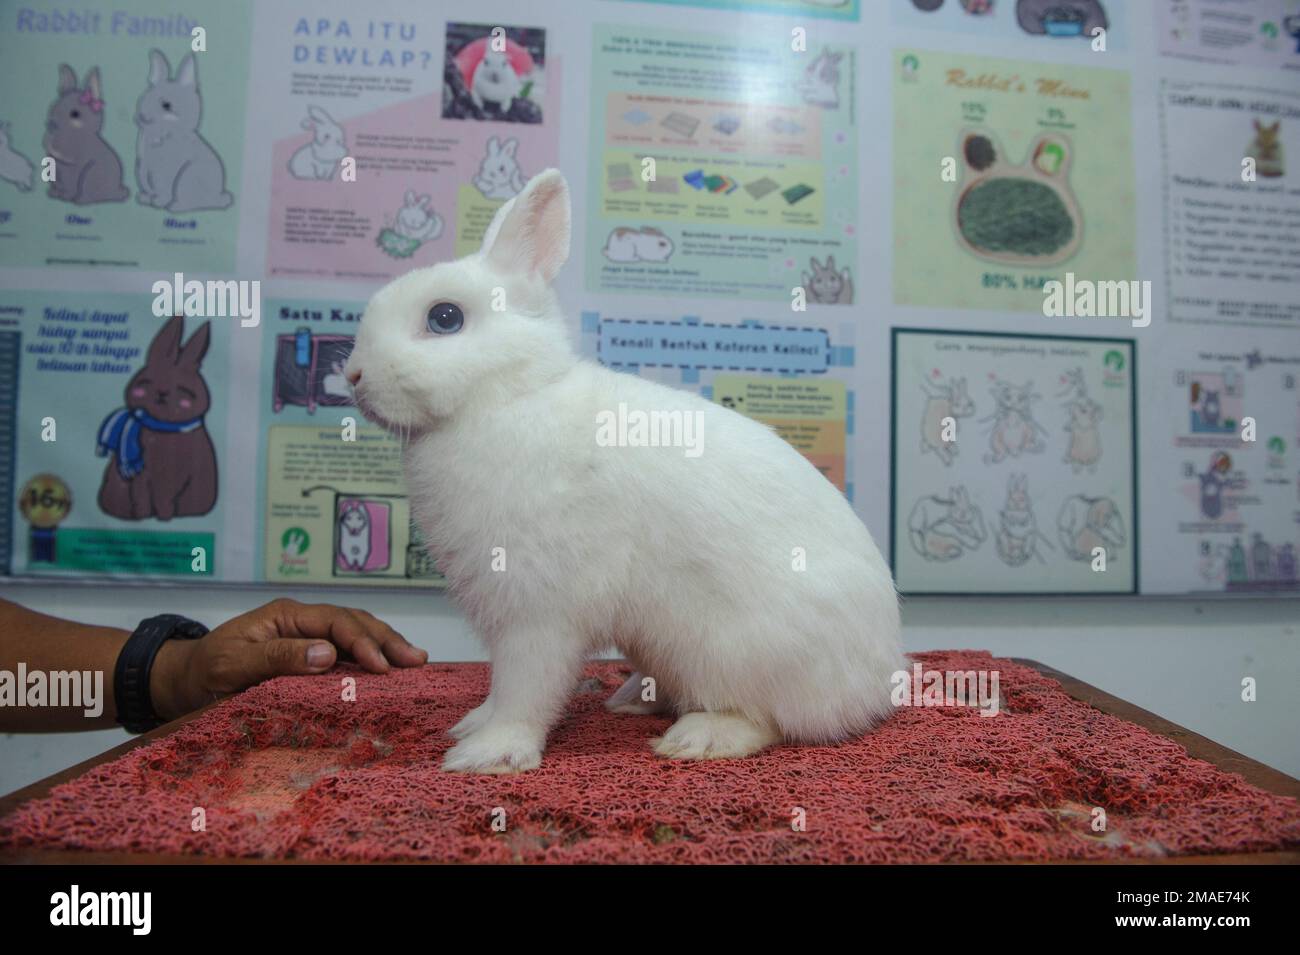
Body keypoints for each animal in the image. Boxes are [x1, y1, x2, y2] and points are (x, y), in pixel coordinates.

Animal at [43, 64, 129, 204]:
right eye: (53, 108)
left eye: (75, 114)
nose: (51, 127)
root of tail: (116, 191)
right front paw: (54, 194)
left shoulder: (74, 168)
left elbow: (70, 184)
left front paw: (65, 196)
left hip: (90, 175)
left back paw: (79, 200)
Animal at [96, 315, 217, 521]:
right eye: (147, 381)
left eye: (182, 388)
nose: (162, 392)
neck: (164, 426)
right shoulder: (144, 476)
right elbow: (142, 494)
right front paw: (144, 515)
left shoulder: (171, 478)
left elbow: (163, 497)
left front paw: (164, 516)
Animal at [134, 50, 233, 211]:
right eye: (145, 97)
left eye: (166, 105)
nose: (142, 117)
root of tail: (218, 197)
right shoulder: (143, 164)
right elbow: (145, 181)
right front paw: (145, 198)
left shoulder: (167, 171)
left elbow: (163, 186)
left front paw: (158, 201)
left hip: (186, 178)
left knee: (194, 203)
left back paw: (174, 206)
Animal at [343, 169, 904, 773]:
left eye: (444, 318)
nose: (352, 375)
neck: (509, 397)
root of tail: (882, 680)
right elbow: (499, 688)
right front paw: (472, 726)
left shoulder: (537, 610)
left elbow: (525, 687)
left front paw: (489, 754)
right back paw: (635, 696)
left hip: (739, 651)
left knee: (771, 718)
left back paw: (698, 737)